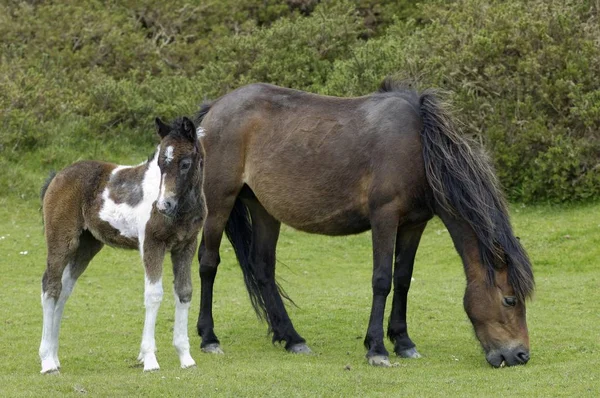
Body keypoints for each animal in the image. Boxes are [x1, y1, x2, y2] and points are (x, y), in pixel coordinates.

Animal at [38, 116, 206, 374]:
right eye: (160, 163)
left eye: (186, 163)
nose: (163, 205)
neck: (183, 209)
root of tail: (58, 176)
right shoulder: (152, 244)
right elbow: (154, 294)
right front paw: (149, 359)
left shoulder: (186, 245)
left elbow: (184, 291)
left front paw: (186, 357)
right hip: (62, 240)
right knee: (51, 287)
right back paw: (47, 361)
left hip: (86, 247)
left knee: (64, 290)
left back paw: (55, 358)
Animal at [193, 79, 536, 368]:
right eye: (510, 299)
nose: (520, 355)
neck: (419, 147)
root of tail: (213, 108)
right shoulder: (385, 217)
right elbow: (382, 280)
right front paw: (377, 349)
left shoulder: (414, 224)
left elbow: (403, 279)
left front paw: (404, 342)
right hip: (218, 203)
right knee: (208, 263)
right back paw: (209, 338)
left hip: (263, 209)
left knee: (263, 269)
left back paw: (292, 338)